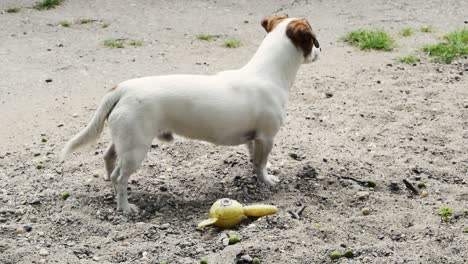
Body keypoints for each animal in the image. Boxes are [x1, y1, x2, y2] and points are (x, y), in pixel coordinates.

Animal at [60, 14, 320, 214]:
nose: (320, 51)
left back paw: (111, 190)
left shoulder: (254, 138)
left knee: (108, 158)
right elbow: (261, 162)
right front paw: (267, 181)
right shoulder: (266, 137)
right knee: (120, 177)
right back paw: (125, 206)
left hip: (124, 141)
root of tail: (123, 88)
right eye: (313, 41)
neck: (268, 72)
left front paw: (257, 175)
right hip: (136, 149)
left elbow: (254, 160)